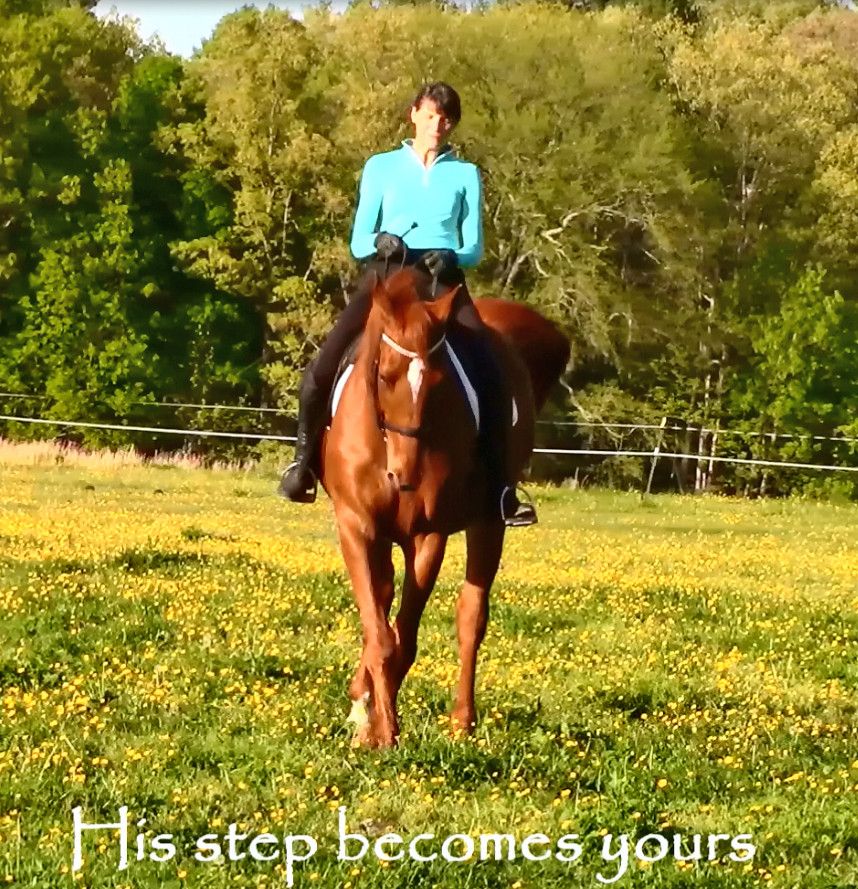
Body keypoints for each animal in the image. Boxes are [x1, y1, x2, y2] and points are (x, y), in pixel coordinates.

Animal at [318, 268, 564, 744]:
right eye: (384, 375)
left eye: (437, 381)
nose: (405, 474)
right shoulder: (356, 526)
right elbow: (379, 629)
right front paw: (371, 722)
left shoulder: (426, 536)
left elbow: (403, 635)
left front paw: (383, 730)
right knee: (385, 603)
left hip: (488, 523)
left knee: (471, 617)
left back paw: (461, 721)